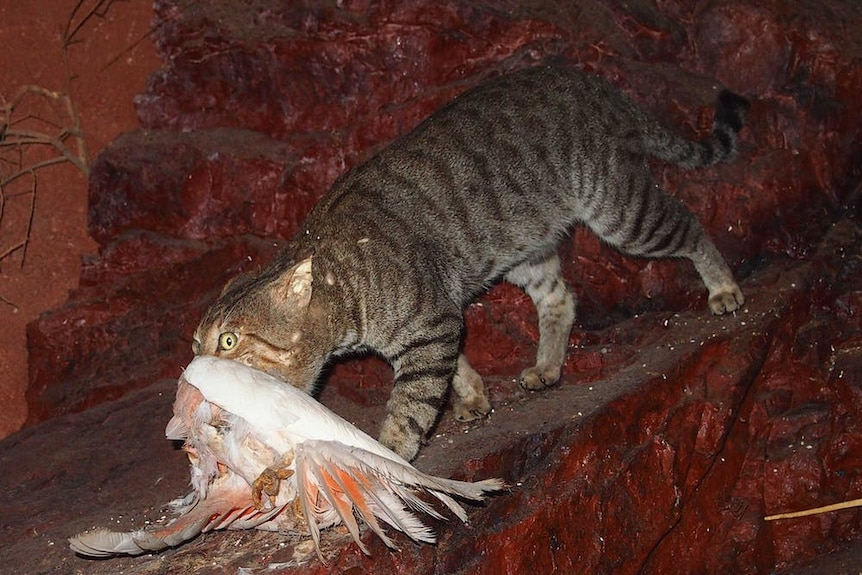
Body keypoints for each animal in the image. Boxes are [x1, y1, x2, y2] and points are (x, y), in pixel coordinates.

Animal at [194, 66, 748, 464]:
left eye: (229, 341)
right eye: (197, 343)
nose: (193, 375)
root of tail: (598, 84)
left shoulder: (431, 321)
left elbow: (410, 407)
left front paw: (390, 454)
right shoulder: (438, 320)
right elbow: (453, 367)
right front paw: (473, 395)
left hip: (621, 211)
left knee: (691, 225)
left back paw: (722, 288)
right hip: (525, 247)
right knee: (560, 299)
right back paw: (547, 366)